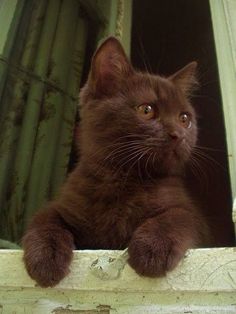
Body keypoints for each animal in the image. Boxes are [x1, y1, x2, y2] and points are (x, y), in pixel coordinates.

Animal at [22, 36, 210, 288]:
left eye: (184, 118)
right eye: (146, 110)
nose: (178, 134)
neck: (124, 177)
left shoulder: (193, 216)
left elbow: (178, 215)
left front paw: (153, 247)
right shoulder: (65, 204)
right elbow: (45, 218)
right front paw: (46, 256)